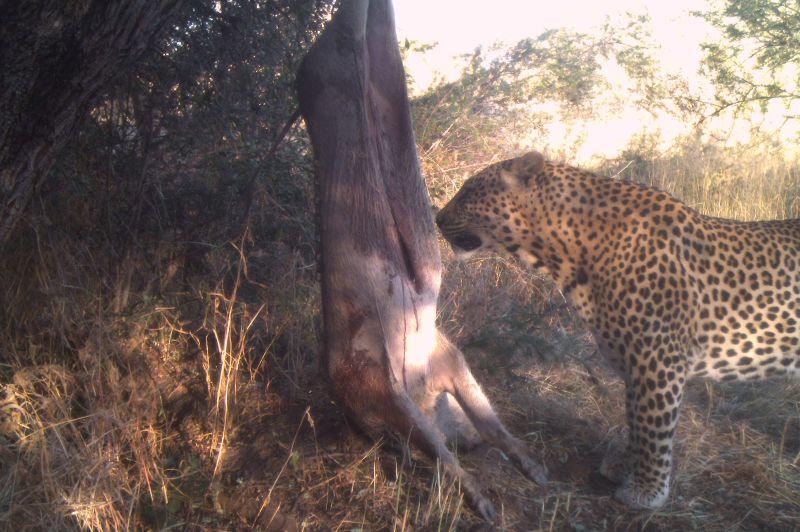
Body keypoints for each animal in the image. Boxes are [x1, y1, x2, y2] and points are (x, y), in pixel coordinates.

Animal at [434, 150, 800, 509]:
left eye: (468, 192)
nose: (436, 218)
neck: (569, 249)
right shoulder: (634, 364)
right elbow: (635, 420)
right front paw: (626, 469)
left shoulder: (658, 360)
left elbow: (653, 426)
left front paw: (647, 491)